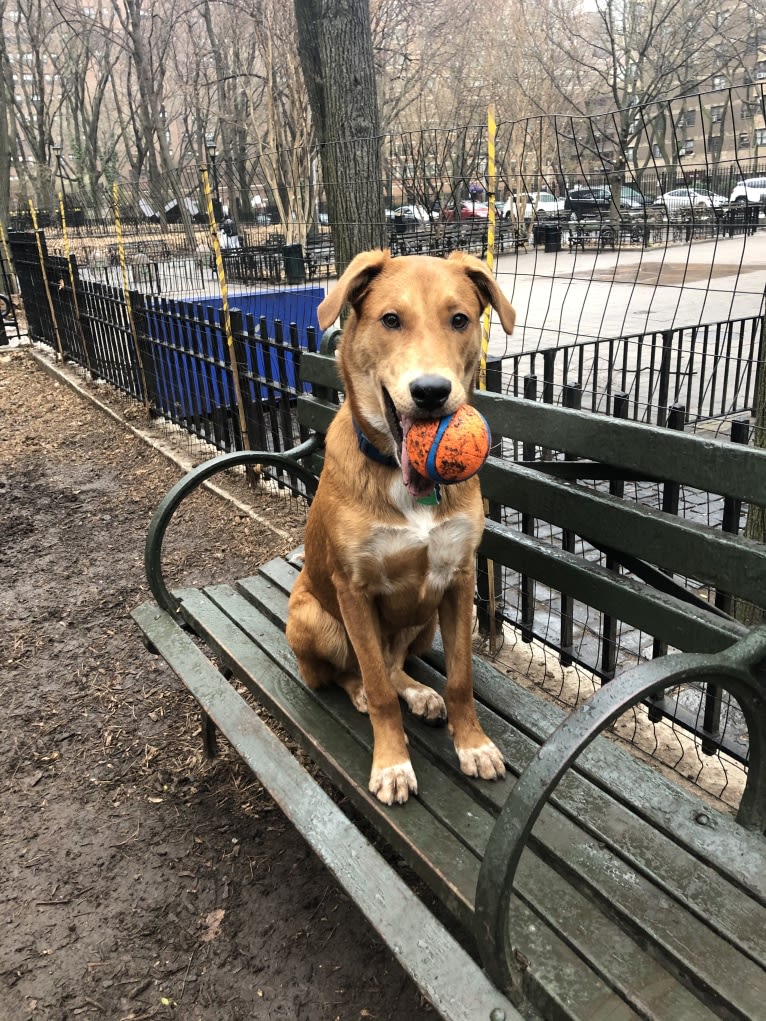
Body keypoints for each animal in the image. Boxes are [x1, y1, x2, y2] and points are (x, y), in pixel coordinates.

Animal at [285, 249, 516, 804]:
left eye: (460, 320)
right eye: (391, 320)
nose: (431, 393)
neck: (406, 483)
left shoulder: (458, 579)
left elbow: (461, 679)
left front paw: (472, 744)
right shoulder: (353, 589)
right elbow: (375, 685)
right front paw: (392, 763)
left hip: (424, 621)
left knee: (394, 666)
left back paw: (420, 694)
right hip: (311, 617)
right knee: (347, 674)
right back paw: (362, 695)